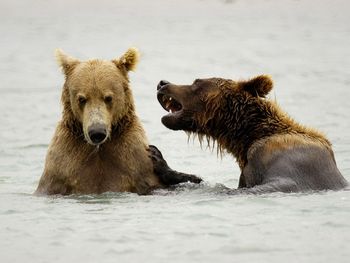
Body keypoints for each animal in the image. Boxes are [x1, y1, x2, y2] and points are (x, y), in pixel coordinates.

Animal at [35, 48, 201, 196]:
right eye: (81, 99)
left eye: (108, 97)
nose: (97, 132)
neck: (99, 149)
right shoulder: (63, 168)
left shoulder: (133, 162)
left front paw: (156, 155)